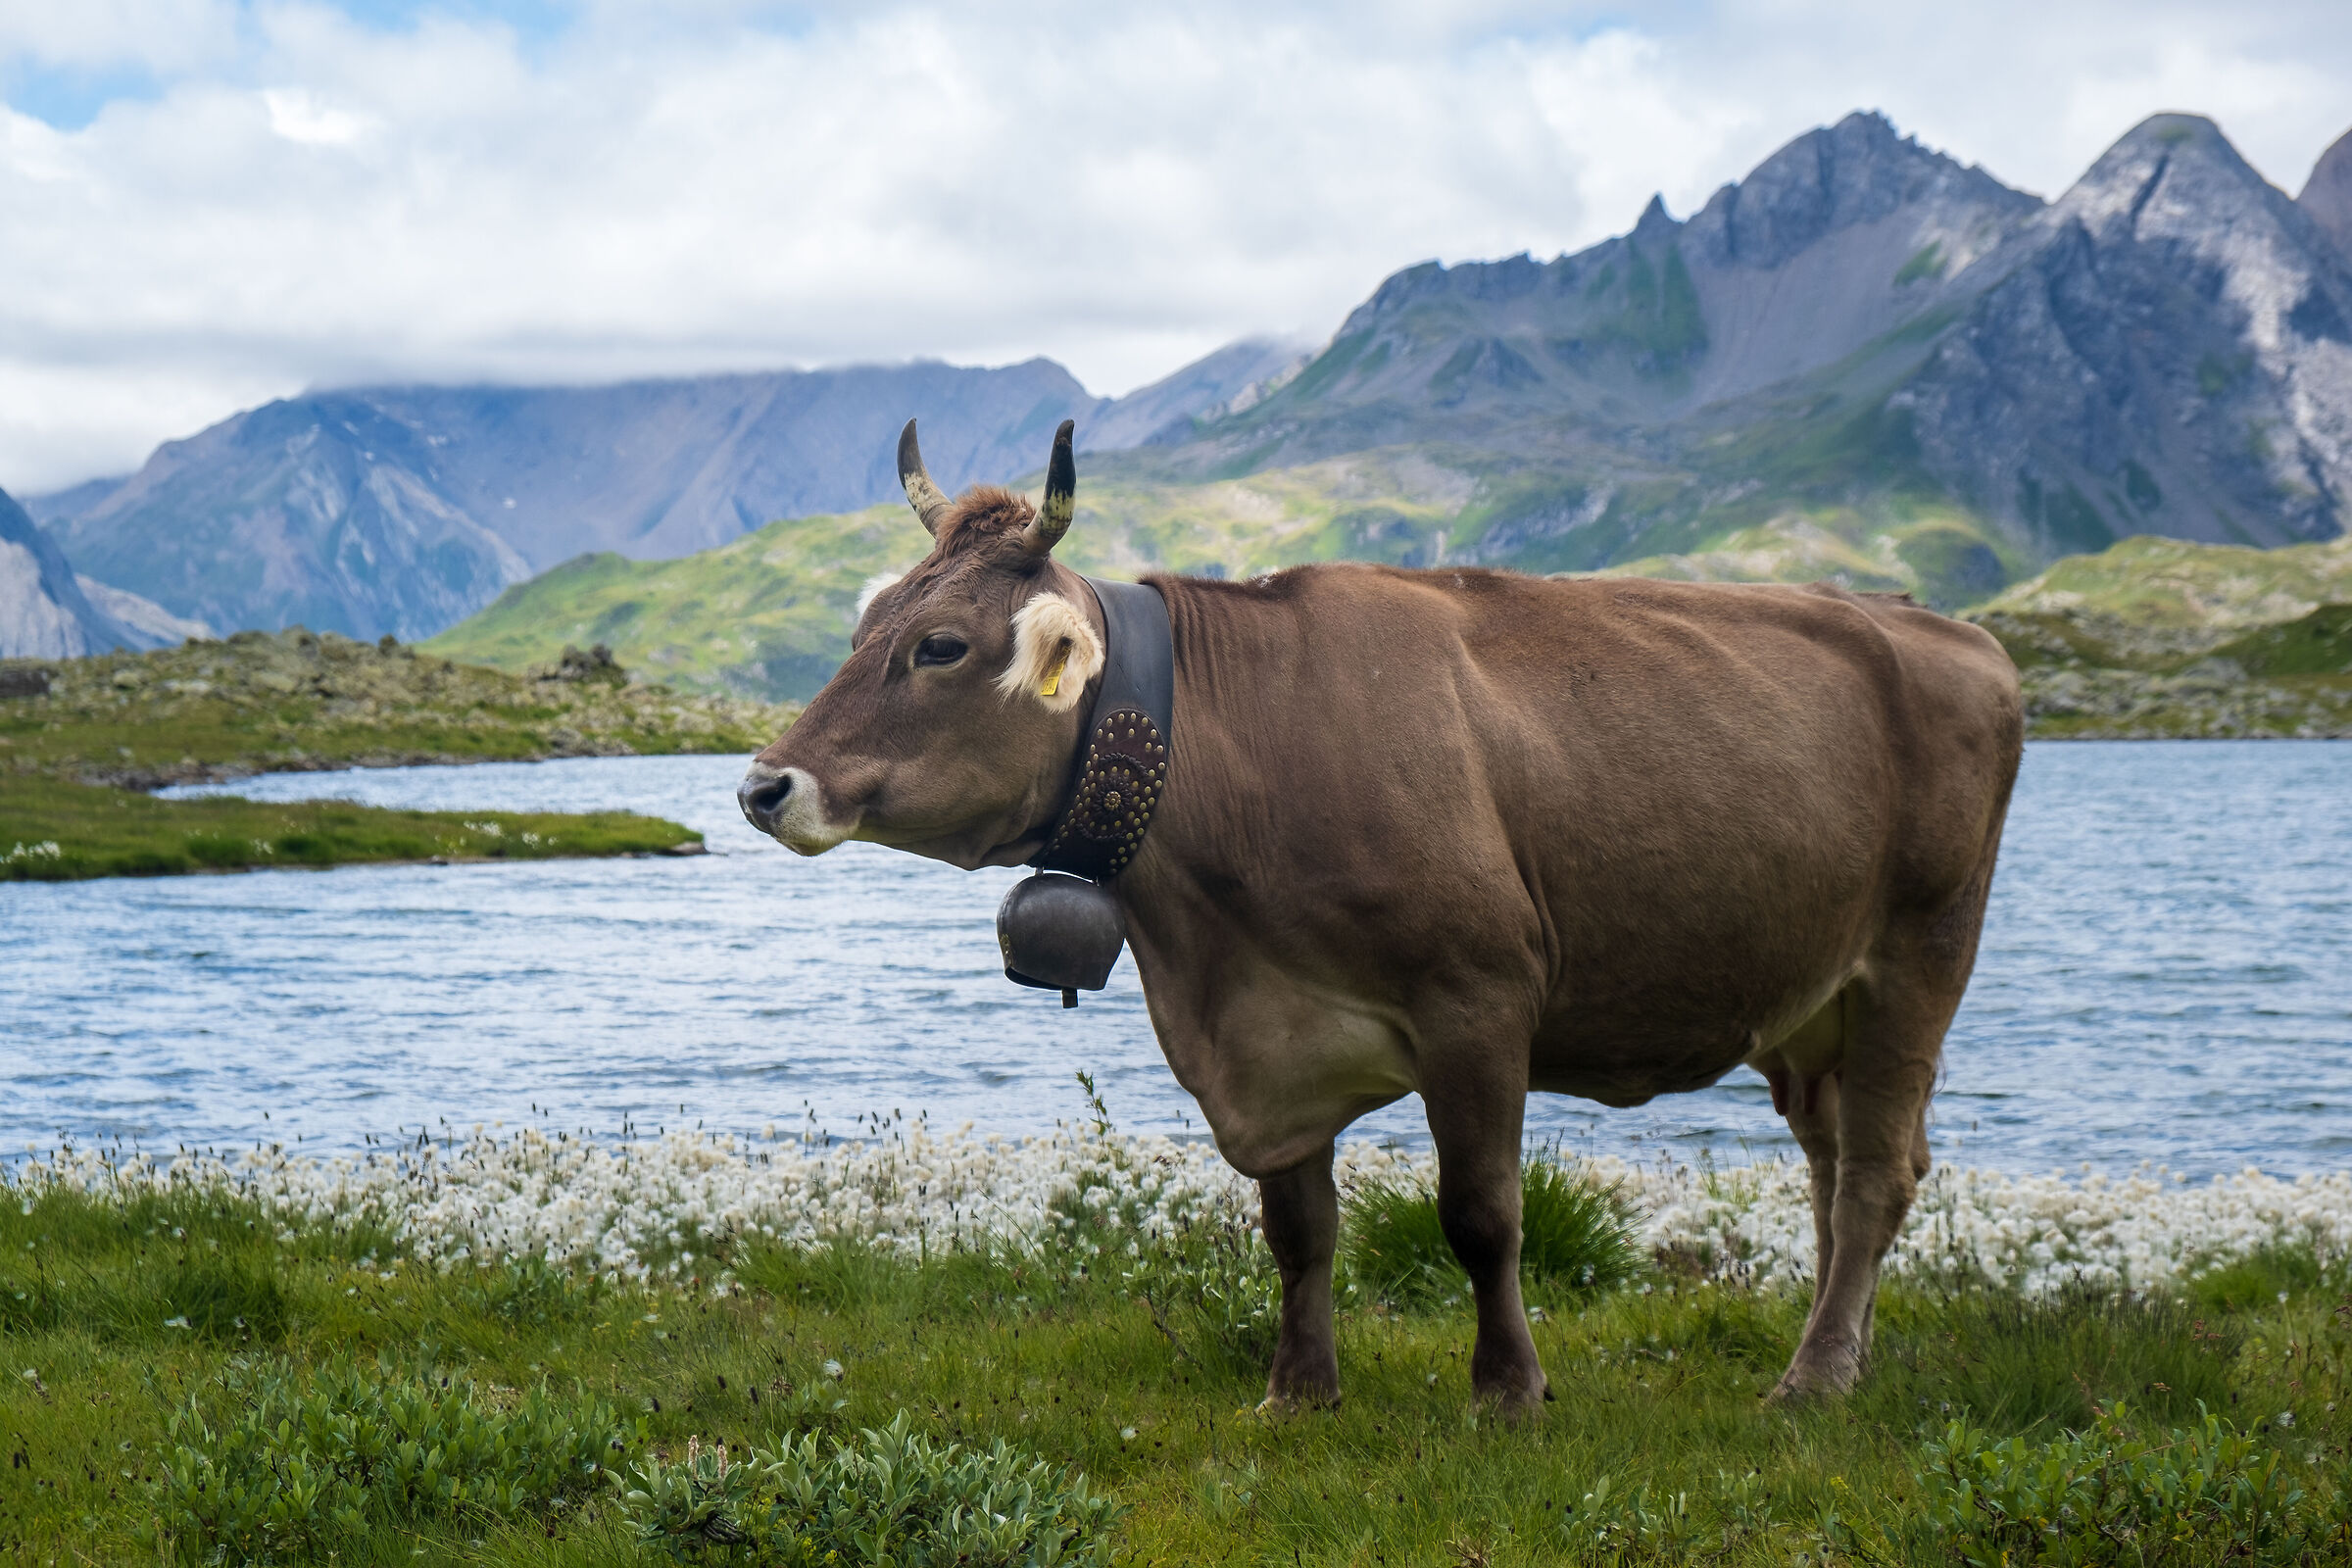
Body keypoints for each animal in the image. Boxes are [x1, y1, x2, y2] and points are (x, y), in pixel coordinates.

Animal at [738, 420, 2023, 1412]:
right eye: (863, 632)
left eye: (939, 645)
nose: (764, 785)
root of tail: (1947, 629)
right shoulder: (1265, 1039)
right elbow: (1299, 1227)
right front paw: (1298, 1390)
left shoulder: (1480, 999)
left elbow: (1481, 1214)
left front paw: (1508, 1389)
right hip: (1810, 1005)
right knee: (1839, 1165)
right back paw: (1843, 1355)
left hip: (1919, 958)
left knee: (1874, 1175)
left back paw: (1811, 1379)